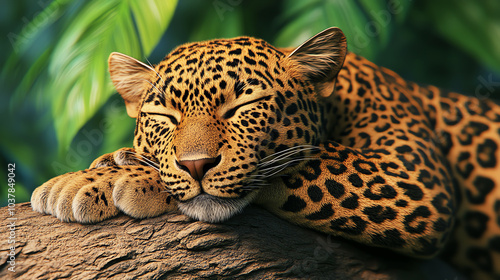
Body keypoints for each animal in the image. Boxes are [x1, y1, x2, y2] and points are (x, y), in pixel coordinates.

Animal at [30, 26, 500, 280]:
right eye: (164, 114)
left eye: (243, 107)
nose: (196, 165)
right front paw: (111, 165)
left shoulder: (414, 179)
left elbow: (302, 161)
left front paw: (114, 179)